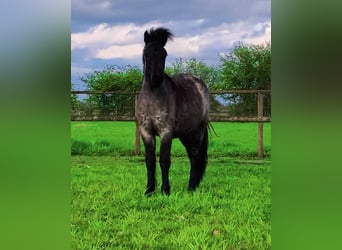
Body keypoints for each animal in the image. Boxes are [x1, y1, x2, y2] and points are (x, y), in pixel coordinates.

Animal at [135, 27, 210, 195]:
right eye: (146, 54)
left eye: (164, 54)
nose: (156, 79)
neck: (152, 99)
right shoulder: (146, 132)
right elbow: (150, 161)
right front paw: (149, 190)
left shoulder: (166, 132)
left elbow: (164, 161)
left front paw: (165, 191)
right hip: (185, 134)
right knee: (191, 156)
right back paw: (193, 185)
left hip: (198, 131)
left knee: (195, 155)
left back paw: (191, 187)